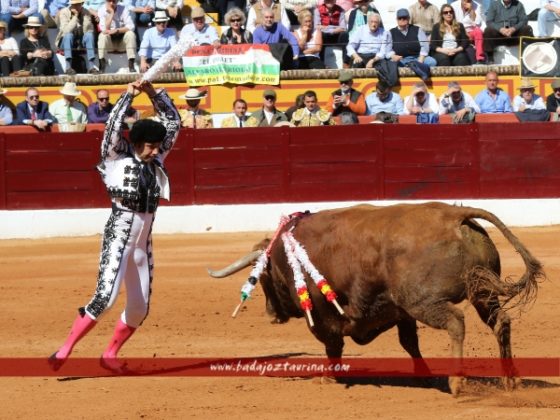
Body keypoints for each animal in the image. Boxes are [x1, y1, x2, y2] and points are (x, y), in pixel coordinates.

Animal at [207, 203, 544, 394]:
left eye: (261, 277)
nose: (270, 315)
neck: (285, 253)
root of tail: (454, 215)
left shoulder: (322, 314)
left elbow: (332, 345)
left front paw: (329, 378)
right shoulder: (399, 313)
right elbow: (409, 343)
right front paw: (423, 376)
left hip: (423, 301)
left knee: (456, 322)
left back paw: (457, 383)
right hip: (482, 293)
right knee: (501, 321)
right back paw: (511, 381)